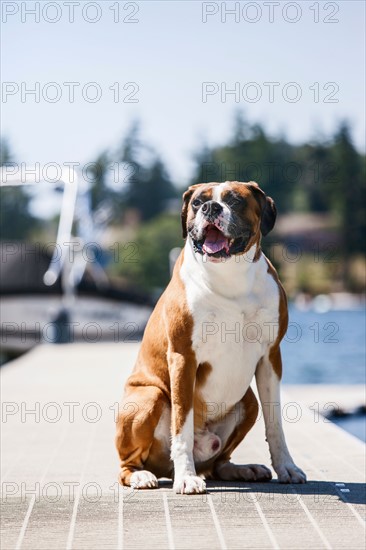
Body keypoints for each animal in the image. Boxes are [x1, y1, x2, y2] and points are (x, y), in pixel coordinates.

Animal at [116, 181, 306, 496]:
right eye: (197, 202)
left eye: (235, 200)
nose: (210, 208)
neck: (230, 274)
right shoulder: (183, 358)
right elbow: (182, 424)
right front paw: (186, 478)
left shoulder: (271, 357)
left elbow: (275, 424)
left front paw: (287, 467)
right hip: (149, 396)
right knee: (128, 464)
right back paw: (142, 475)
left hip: (249, 401)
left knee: (218, 463)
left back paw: (240, 469)